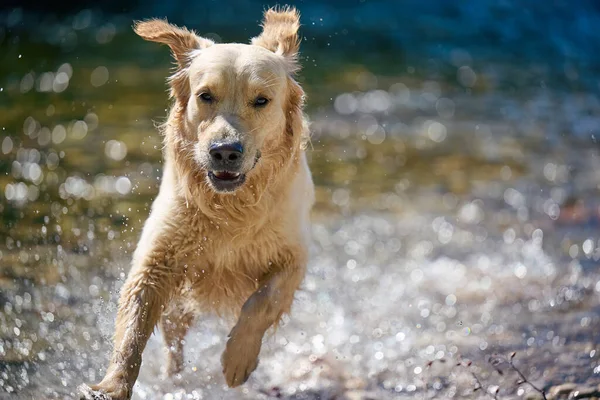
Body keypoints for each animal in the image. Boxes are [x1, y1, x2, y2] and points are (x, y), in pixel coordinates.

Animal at [81, 7, 314, 400]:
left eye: (261, 100)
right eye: (205, 95)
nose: (225, 152)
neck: (230, 208)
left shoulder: (293, 257)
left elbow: (261, 302)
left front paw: (237, 360)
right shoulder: (156, 261)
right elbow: (132, 331)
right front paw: (112, 385)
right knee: (174, 341)